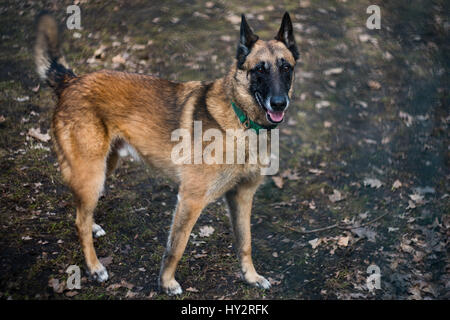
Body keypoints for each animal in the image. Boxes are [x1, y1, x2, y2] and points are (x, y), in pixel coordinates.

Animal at [34, 11, 298, 294]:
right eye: (259, 69)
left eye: (286, 68)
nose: (279, 103)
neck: (242, 121)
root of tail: (71, 81)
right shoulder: (190, 199)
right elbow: (176, 247)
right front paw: (166, 282)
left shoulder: (242, 196)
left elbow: (245, 242)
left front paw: (251, 277)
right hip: (92, 172)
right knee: (79, 222)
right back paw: (94, 267)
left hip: (104, 166)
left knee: (82, 212)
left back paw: (92, 225)